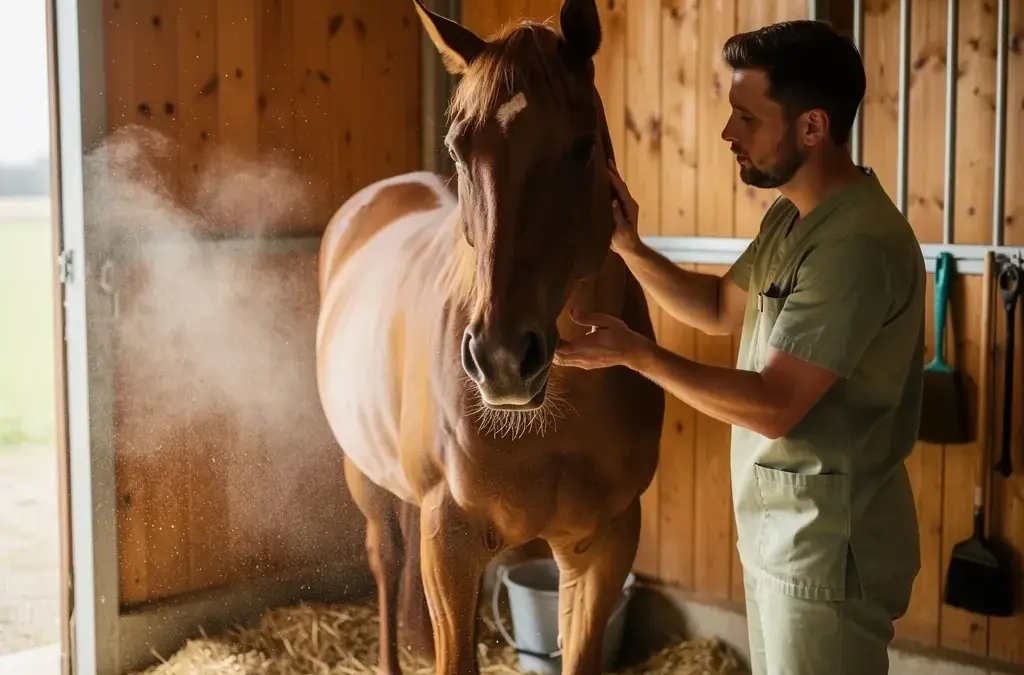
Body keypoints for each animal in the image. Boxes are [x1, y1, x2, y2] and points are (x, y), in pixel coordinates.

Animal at [314, 1, 665, 672]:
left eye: (582, 146)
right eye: (459, 148)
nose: (502, 360)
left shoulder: (602, 546)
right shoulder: (448, 540)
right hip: (363, 475)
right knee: (386, 559)